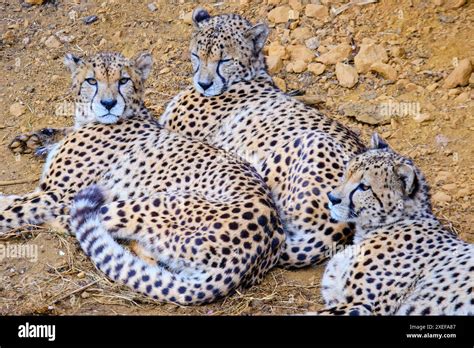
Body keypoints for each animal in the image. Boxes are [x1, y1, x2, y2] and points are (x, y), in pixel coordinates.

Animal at [0, 51, 286, 304]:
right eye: (91, 81)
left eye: (123, 80)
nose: (108, 104)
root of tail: (253, 255)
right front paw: (35, 139)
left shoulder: (56, 194)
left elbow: (11, 209)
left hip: (135, 205)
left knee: (73, 223)